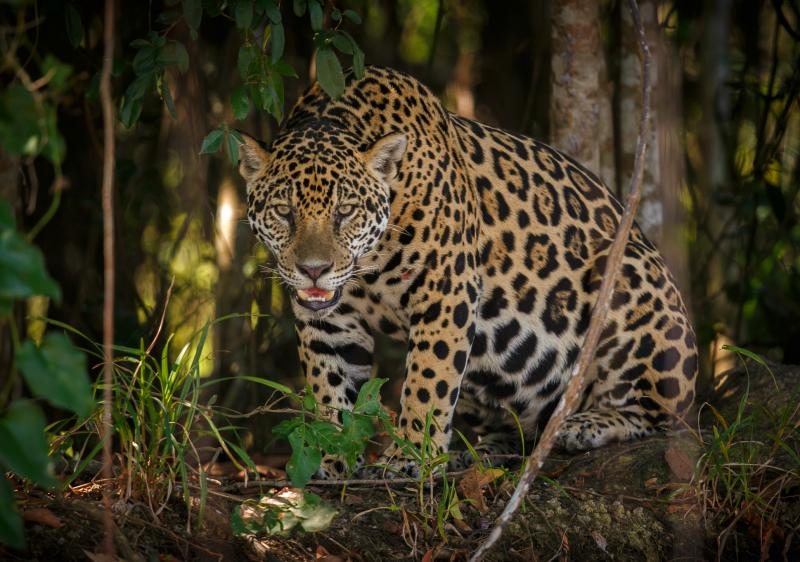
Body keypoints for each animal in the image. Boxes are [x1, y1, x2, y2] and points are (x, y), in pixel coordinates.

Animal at [237, 66, 698, 478]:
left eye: (345, 211)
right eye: (284, 212)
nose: (314, 270)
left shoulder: (444, 291)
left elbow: (427, 382)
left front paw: (410, 457)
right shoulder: (328, 321)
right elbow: (329, 387)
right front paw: (330, 455)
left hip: (629, 283)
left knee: (661, 416)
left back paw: (584, 425)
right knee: (510, 433)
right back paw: (474, 457)